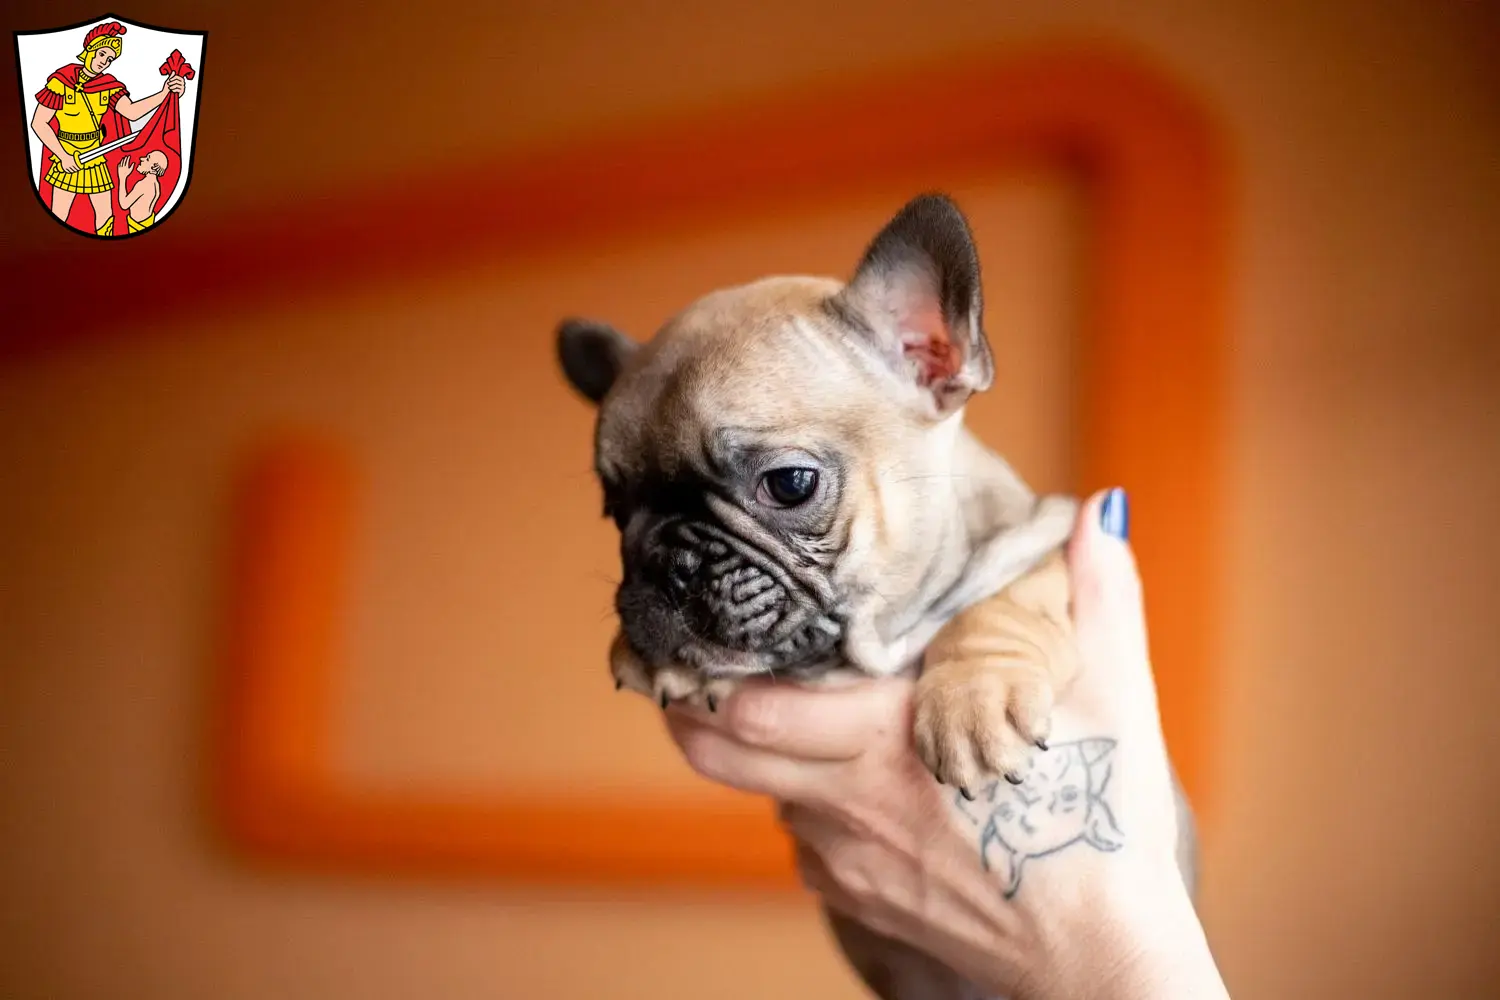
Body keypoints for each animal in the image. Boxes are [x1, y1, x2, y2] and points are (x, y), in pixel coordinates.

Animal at [552, 194, 1194, 1000]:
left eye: (789, 484)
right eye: (615, 511)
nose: (666, 563)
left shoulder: (1048, 541)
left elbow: (1005, 602)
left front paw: (973, 701)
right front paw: (654, 654)